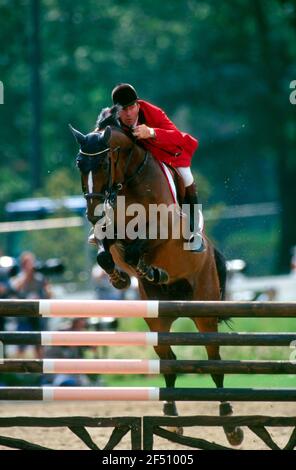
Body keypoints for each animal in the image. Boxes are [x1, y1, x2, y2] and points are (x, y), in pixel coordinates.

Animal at [70, 105, 244, 444]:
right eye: (80, 164)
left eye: (104, 163)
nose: (92, 213)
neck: (130, 181)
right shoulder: (110, 235)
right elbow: (105, 251)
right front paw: (121, 278)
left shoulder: (162, 230)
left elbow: (137, 249)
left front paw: (147, 268)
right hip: (157, 318)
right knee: (169, 361)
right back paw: (172, 417)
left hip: (204, 309)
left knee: (214, 361)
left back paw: (230, 423)